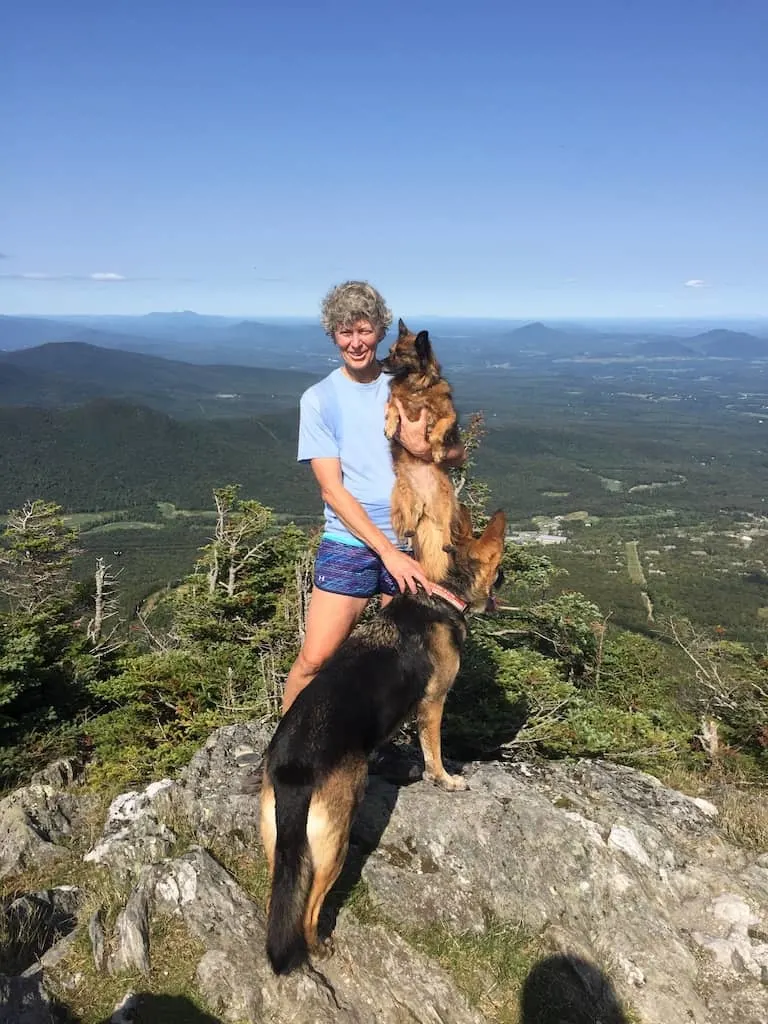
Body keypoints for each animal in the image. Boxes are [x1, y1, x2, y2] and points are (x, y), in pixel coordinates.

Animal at [262, 507, 507, 970]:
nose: (505, 580)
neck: (442, 594)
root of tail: (292, 767)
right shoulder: (433, 702)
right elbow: (434, 750)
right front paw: (445, 779)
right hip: (333, 843)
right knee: (310, 905)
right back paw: (318, 944)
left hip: (280, 841)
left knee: (283, 890)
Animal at [380, 315, 460, 581]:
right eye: (389, 351)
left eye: (400, 354)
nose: (379, 363)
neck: (415, 387)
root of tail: (425, 503)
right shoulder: (394, 402)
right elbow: (393, 407)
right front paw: (390, 425)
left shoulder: (449, 416)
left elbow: (438, 430)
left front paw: (436, 450)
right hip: (404, 497)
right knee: (410, 521)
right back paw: (408, 530)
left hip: (447, 504)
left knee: (445, 529)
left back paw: (447, 543)